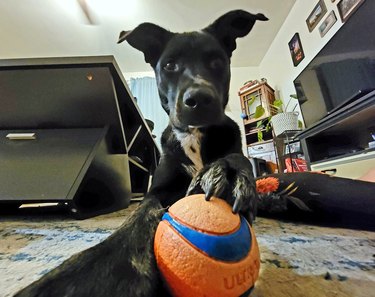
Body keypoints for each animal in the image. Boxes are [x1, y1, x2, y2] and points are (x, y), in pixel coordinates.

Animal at [14, 10, 268, 296]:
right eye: (169, 65)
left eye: (216, 61)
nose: (200, 99)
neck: (194, 135)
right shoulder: (157, 190)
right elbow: (139, 216)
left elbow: (238, 157)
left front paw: (229, 174)